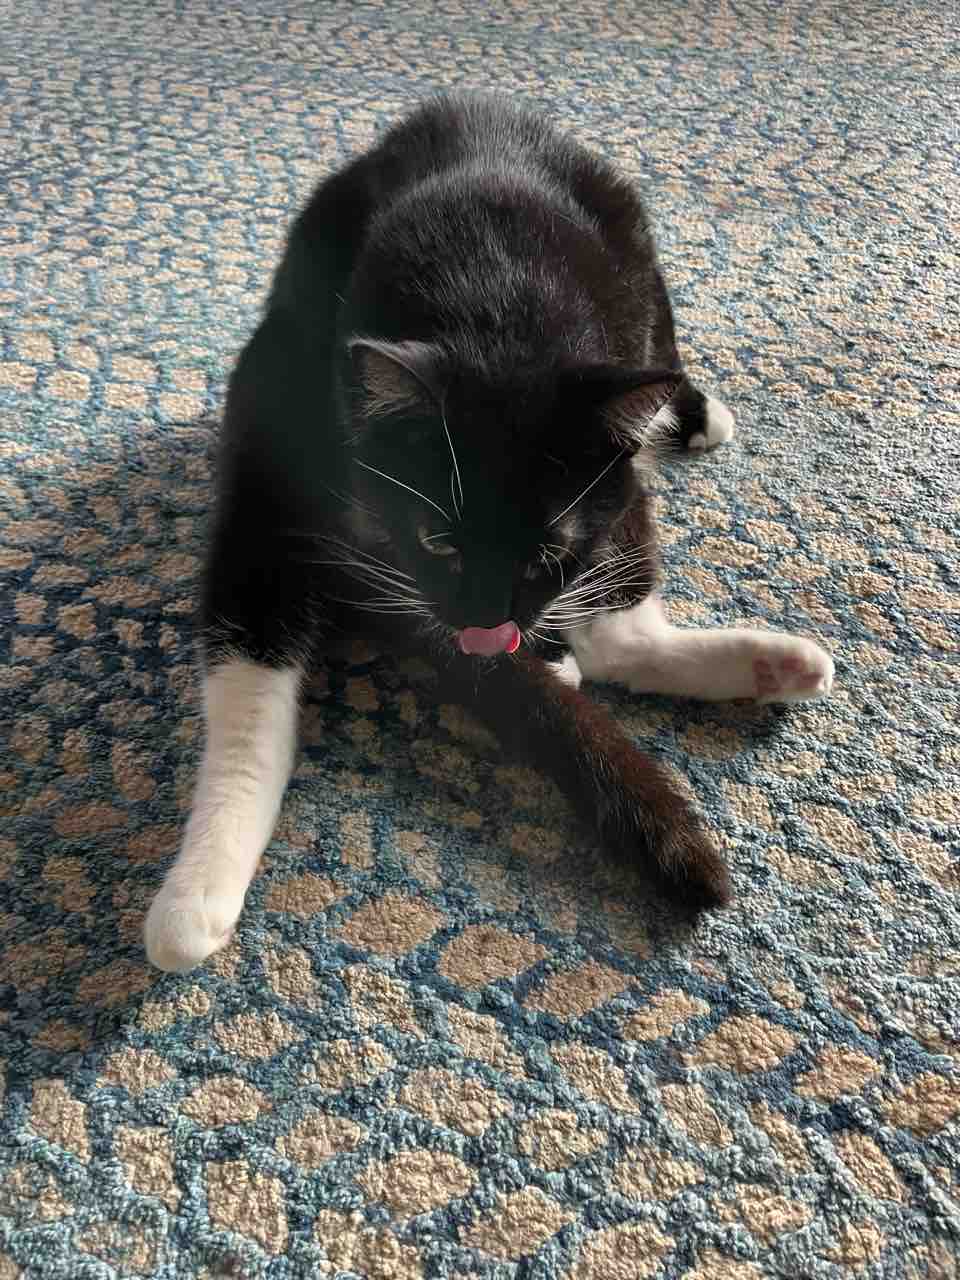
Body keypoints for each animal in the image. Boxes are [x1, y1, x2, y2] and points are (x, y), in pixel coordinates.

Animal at [145, 93, 835, 972]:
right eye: (438, 541)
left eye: (548, 550)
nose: (486, 627)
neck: (497, 303)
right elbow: (250, 690)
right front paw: (195, 895)